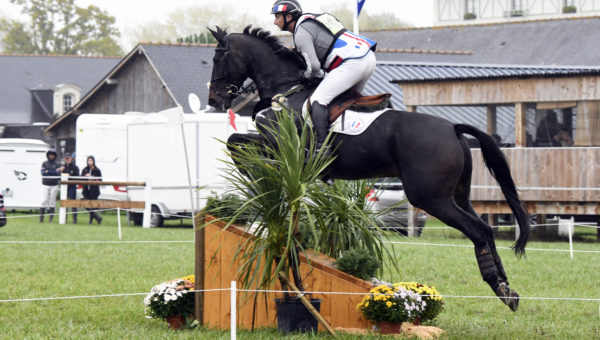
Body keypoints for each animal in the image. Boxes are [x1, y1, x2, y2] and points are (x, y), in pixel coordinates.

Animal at [207, 26, 528, 312]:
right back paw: (507, 289)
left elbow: (235, 142)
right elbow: (236, 143)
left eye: (218, 58)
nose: (214, 100)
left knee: (479, 230)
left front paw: (256, 175)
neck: (285, 89)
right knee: (485, 230)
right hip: (457, 196)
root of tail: (453, 127)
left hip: (430, 198)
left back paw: (499, 287)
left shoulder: (276, 142)